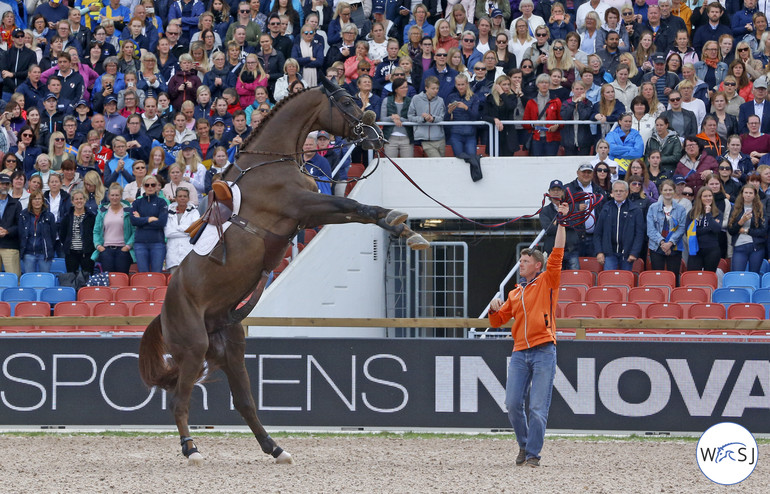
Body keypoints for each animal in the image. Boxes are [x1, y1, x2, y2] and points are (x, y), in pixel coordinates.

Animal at [138, 76, 426, 464]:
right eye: (347, 102)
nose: (375, 137)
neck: (272, 163)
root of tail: (165, 309)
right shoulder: (304, 206)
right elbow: (355, 206)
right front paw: (400, 222)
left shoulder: (311, 214)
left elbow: (356, 209)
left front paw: (405, 229)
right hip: (193, 348)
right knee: (179, 402)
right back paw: (192, 449)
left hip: (230, 348)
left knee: (244, 402)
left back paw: (276, 449)